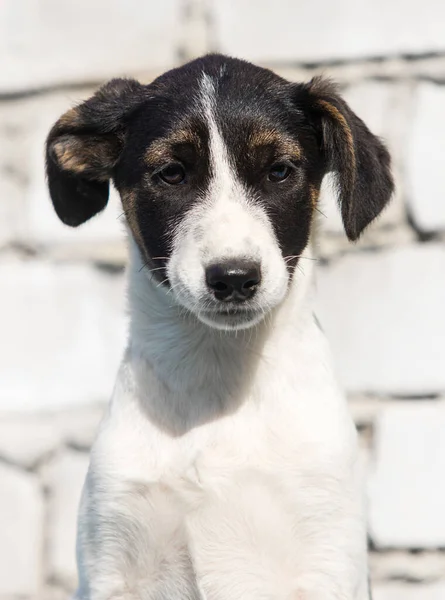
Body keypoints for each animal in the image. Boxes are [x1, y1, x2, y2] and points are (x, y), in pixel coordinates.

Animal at [46, 54, 392, 596]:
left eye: (279, 171)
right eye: (171, 173)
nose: (233, 278)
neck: (218, 373)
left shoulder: (328, 560)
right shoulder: (110, 561)